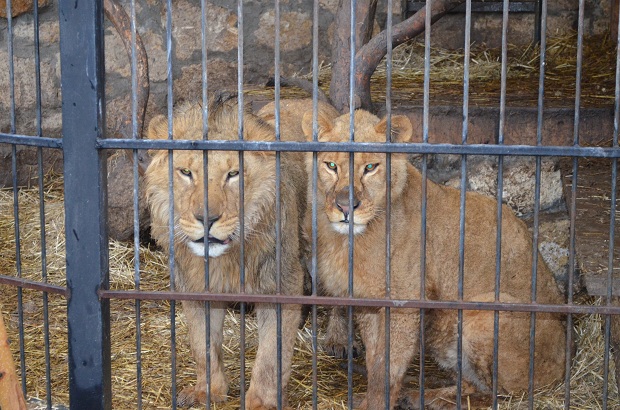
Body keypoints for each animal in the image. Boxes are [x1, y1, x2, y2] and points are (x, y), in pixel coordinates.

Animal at [302, 107, 568, 408]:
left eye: (370, 167)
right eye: (330, 166)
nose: (346, 207)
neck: (349, 239)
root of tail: (566, 359)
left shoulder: (404, 304)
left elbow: (386, 368)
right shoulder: (367, 302)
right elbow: (374, 360)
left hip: (484, 312)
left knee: (499, 395)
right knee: (470, 384)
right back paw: (421, 396)